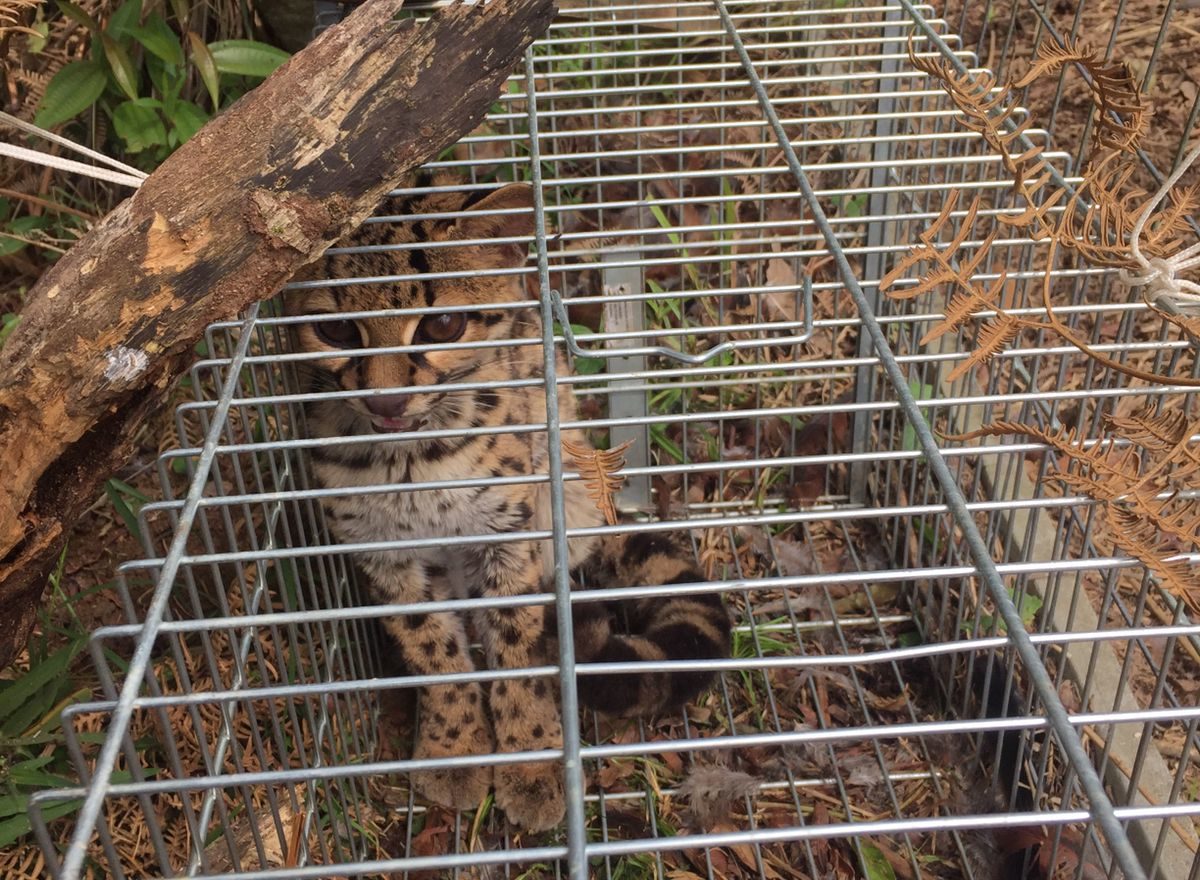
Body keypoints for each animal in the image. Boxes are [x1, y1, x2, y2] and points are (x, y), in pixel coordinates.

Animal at [285, 176, 729, 830]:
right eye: (337, 332)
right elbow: (432, 651)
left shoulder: (508, 532)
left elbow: (520, 649)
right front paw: (455, 750)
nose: (387, 402)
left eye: (442, 325)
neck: (411, 462)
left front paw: (531, 764)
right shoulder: (380, 550)